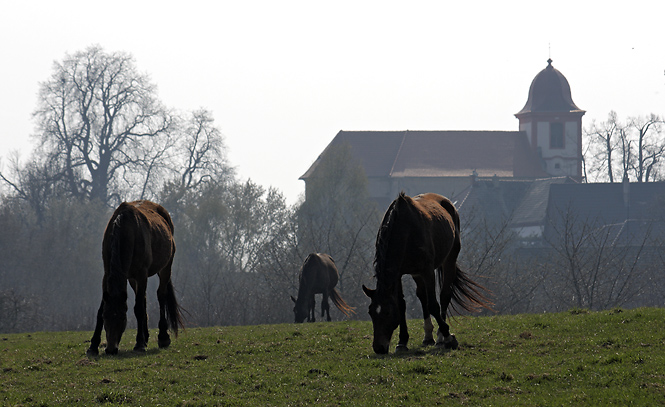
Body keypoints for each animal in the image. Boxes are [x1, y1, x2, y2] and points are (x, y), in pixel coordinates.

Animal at [87, 201, 184, 356]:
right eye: (106, 317)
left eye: (122, 318)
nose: (111, 349)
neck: (125, 230)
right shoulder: (107, 274)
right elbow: (101, 309)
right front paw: (93, 345)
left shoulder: (141, 274)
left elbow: (138, 308)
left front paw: (139, 344)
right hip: (132, 278)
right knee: (143, 299)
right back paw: (146, 336)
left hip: (165, 268)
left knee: (160, 295)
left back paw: (163, 337)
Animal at [360, 192, 490, 354]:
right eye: (370, 312)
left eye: (387, 312)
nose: (379, 348)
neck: (405, 230)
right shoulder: (399, 274)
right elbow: (402, 304)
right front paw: (402, 342)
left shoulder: (427, 271)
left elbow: (433, 304)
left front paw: (449, 337)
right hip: (416, 273)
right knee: (422, 296)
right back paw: (428, 337)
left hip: (450, 258)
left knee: (444, 295)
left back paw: (440, 337)